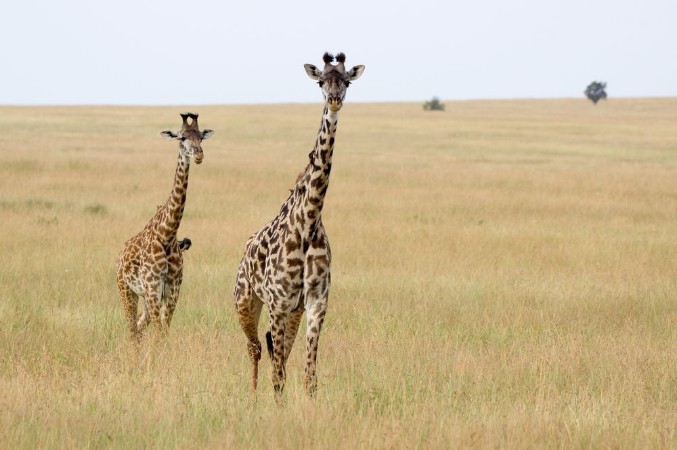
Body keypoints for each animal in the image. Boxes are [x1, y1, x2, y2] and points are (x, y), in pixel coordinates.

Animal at [116, 113, 213, 342]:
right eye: (181, 137)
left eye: (201, 137)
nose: (199, 155)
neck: (167, 234)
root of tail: (120, 256)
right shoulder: (153, 287)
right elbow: (159, 333)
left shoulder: (173, 287)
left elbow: (164, 330)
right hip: (127, 290)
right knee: (132, 330)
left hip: (143, 296)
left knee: (140, 327)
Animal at [234, 52, 365, 397]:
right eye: (321, 81)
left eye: (346, 81)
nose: (334, 101)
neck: (308, 222)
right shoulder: (278, 302)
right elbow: (278, 375)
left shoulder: (316, 302)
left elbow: (308, 376)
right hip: (245, 300)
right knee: (255, 349)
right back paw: (252, 398)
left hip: (291, 312)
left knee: (274, 352)